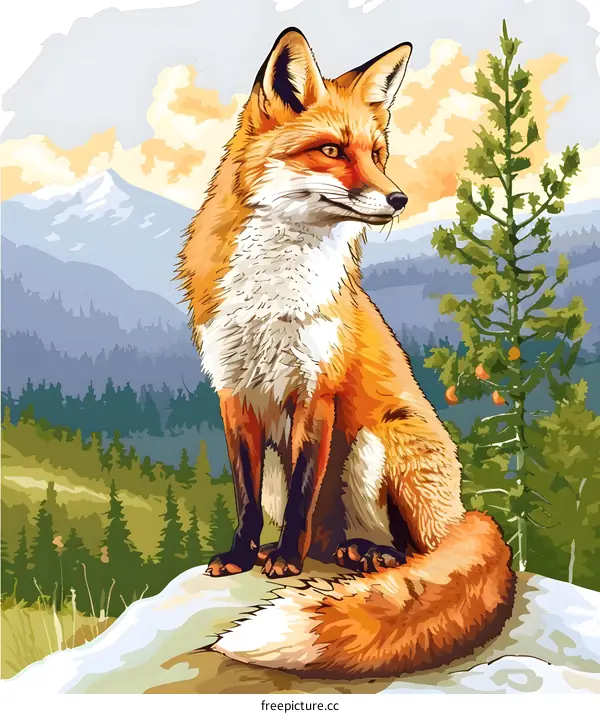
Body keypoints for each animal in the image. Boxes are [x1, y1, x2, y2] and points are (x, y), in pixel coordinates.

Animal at [177, 27, 515, 678]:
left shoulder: (317, 388)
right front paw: (241, 554)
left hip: (381, 439)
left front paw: (284, 560)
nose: (399, 198)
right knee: (333, 537)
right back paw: (345, 552)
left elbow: (305, 491)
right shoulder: (234, 390)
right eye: (332, 150)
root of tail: (466, 513)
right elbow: (245, 495)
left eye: (377, 153)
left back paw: (372, 556)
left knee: (416, 551)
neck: (273, 293)